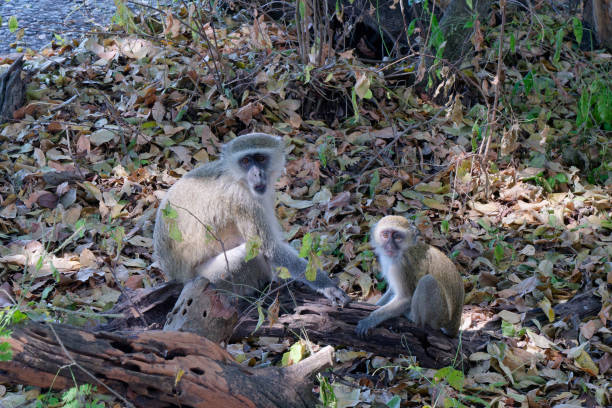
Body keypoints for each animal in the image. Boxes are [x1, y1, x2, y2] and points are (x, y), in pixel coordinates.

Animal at [154, 133, 350, 306]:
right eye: (246, 161)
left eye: (261, 158)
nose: (257, 174)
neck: (236, 177)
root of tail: (175, 276)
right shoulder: (243, 201)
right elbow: (270, 249)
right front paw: (326, 285)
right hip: (211, 280)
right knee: (248, 254)